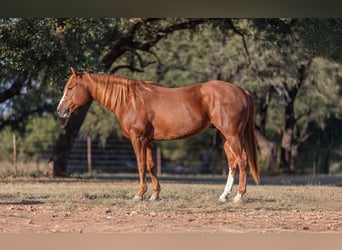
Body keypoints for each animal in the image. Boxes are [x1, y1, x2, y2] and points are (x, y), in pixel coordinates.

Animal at [56, 67, 260, 202]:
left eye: (71, 88)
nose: (60, 110)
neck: (130, 100)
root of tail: (243, 91)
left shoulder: (138, 139)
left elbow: (140, 165)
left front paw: (139, 194)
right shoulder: (148, 141)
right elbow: (151, 165)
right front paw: (154, 194)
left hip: (233, 136)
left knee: (242, 160)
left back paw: (239, 196)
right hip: (226, 137)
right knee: (233, 163)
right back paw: (224, 195)